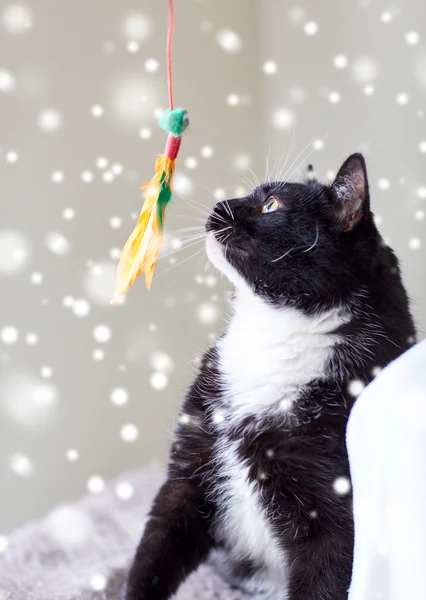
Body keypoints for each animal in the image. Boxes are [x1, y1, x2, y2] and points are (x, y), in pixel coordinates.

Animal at [124, 154, 416, 600]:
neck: (272, 334)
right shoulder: (188, 469)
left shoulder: (331, 516)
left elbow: (325, 575)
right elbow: (153, 552)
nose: (219, 204)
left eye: (271, 205)